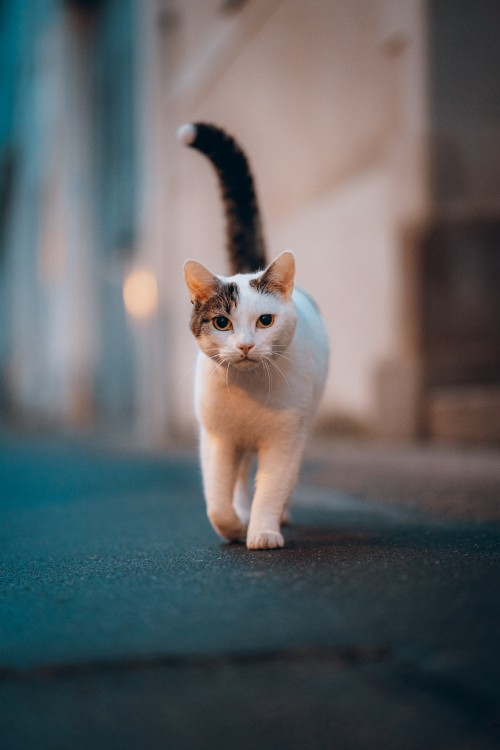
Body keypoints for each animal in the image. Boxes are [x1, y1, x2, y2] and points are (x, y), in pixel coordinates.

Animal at [179, 123, 328, 552]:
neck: (247, 392)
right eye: (221, 323)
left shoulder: (284, 439)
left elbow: (273, 486)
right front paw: (232, 526)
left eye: (264, 321)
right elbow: (217, 499)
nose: (245, 345)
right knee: (240, 479)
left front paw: (262, 531)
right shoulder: (217, 440)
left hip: (305, 422)